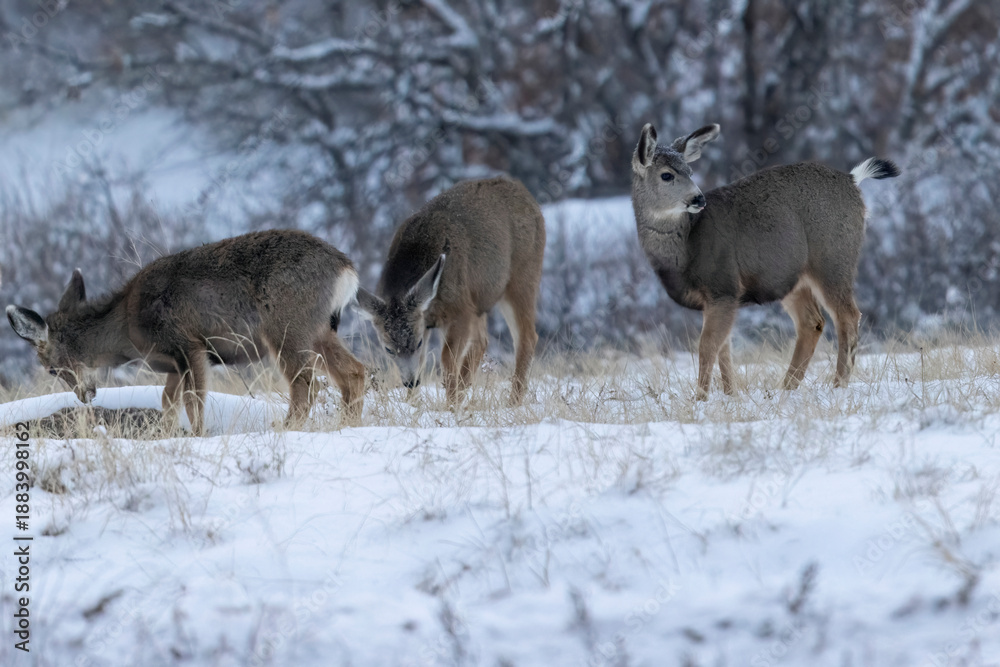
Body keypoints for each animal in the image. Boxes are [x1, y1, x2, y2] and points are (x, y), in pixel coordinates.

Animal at [6, 230, 366, 434]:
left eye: (51, 369)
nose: (84, 396)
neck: (127, 327)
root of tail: (347, 270)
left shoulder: (188, 345)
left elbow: (194, 401)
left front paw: (197, 436)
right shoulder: (173, 363)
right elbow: (168, 403)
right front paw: (167, 434)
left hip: (286, 325)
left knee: (307, 382)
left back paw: (286, 428)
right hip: (318, 329)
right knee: (354, 371)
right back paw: (348, 424)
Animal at [356, 176, 545, 406]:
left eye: (418, 343)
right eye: (388, 349)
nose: (410, 382)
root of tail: (523, 191)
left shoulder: (460, 310)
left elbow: (447, 357)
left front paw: (451, 403)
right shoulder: (433, 319)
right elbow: (423, 362)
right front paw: (414, 404)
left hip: (523, 276)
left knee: (527, 337)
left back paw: (512, 401)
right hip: (478, 298)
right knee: (482, 341)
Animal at [631, 123, 900, 399]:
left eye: (690, 171)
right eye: (666, 175)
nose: (698, 199)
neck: (686, 247)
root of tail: (853, 180)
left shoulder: (723, 286)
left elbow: (707, 346)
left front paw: (701, 398)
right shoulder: (718, 299)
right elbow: (724, 349)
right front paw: (730, 394)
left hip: (833, 260)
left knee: (847, 315)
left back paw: (837, 384)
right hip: (792, 278)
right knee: (812, 322)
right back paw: (787, 388)